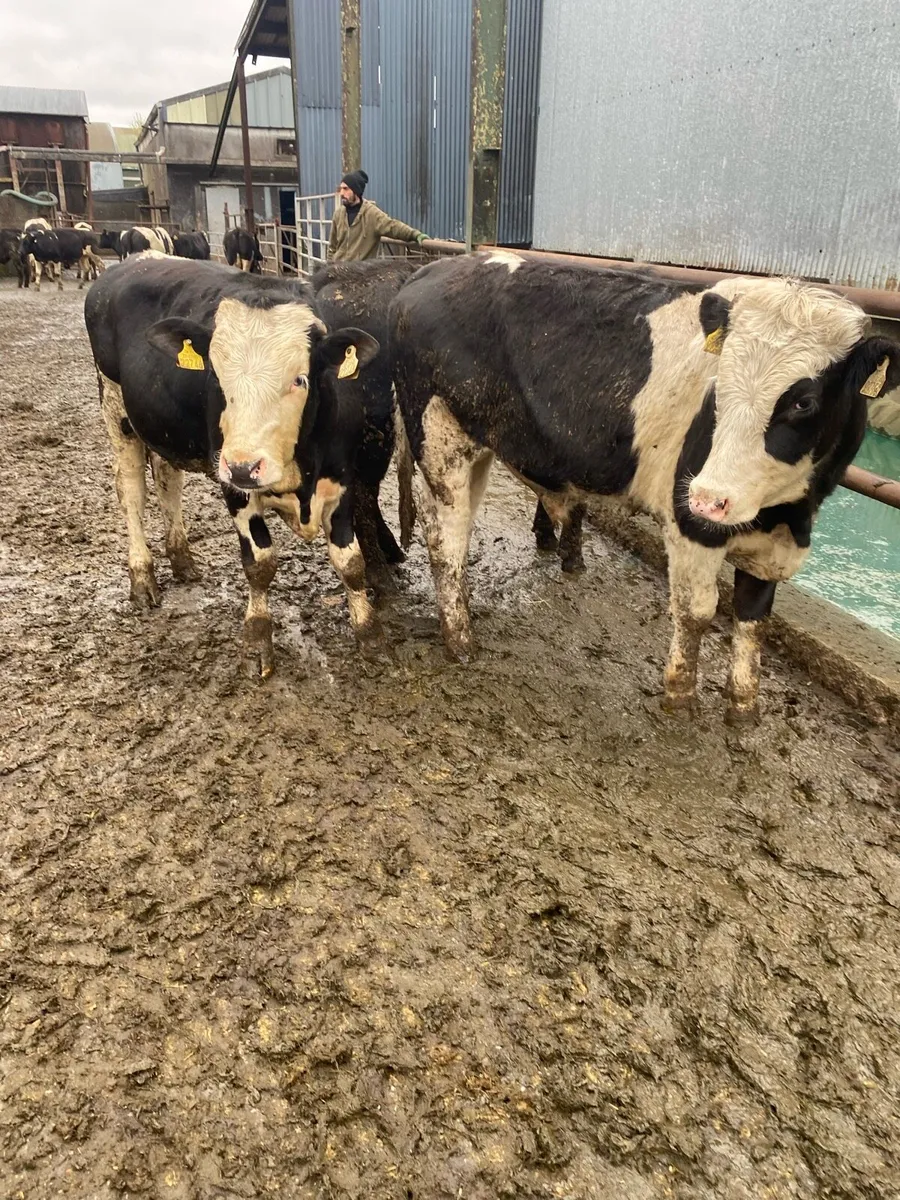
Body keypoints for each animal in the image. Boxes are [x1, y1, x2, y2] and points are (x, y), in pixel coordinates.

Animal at [83, 255, 383, 677]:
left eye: (300, 379)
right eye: (215, 376)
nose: (244, 466)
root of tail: (136, 260)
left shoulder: (342, 480)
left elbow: (351, 562)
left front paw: (369, 635)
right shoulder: (235, 488)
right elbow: (259, 563)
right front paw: (257, 639)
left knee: (167, 481)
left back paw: (181, 559)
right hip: (115, 409)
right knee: (131, 492)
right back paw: (142, 576)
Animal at [390, 252, 900, 723]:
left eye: (804, 401)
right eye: (720, 385)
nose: (710, 498)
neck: (786, 511)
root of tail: (433, 269)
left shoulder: (776, 545)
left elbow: (753, 620)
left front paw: (743, 708)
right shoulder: (691, 524)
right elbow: (697, 611)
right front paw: (681, 699)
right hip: (439, 437)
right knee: (445, 539)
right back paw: (460, 640)